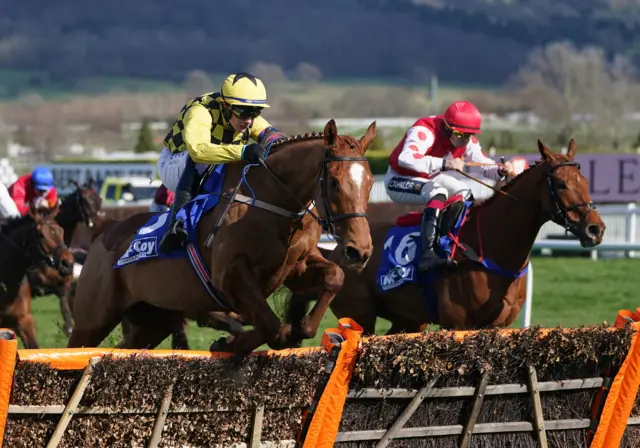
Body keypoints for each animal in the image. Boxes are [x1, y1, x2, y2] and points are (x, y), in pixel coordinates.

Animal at [66, 120, 376, 356]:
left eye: (370, 181)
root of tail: (103, 232)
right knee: (78, 346)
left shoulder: (294, 268)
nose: (359, 250)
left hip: (153, 321)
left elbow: (334, 276)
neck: (272, 203)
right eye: (334, 182)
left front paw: (299, 328)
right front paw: (229, 342)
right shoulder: (229, 276)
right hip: (92, 319)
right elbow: (270, 326)